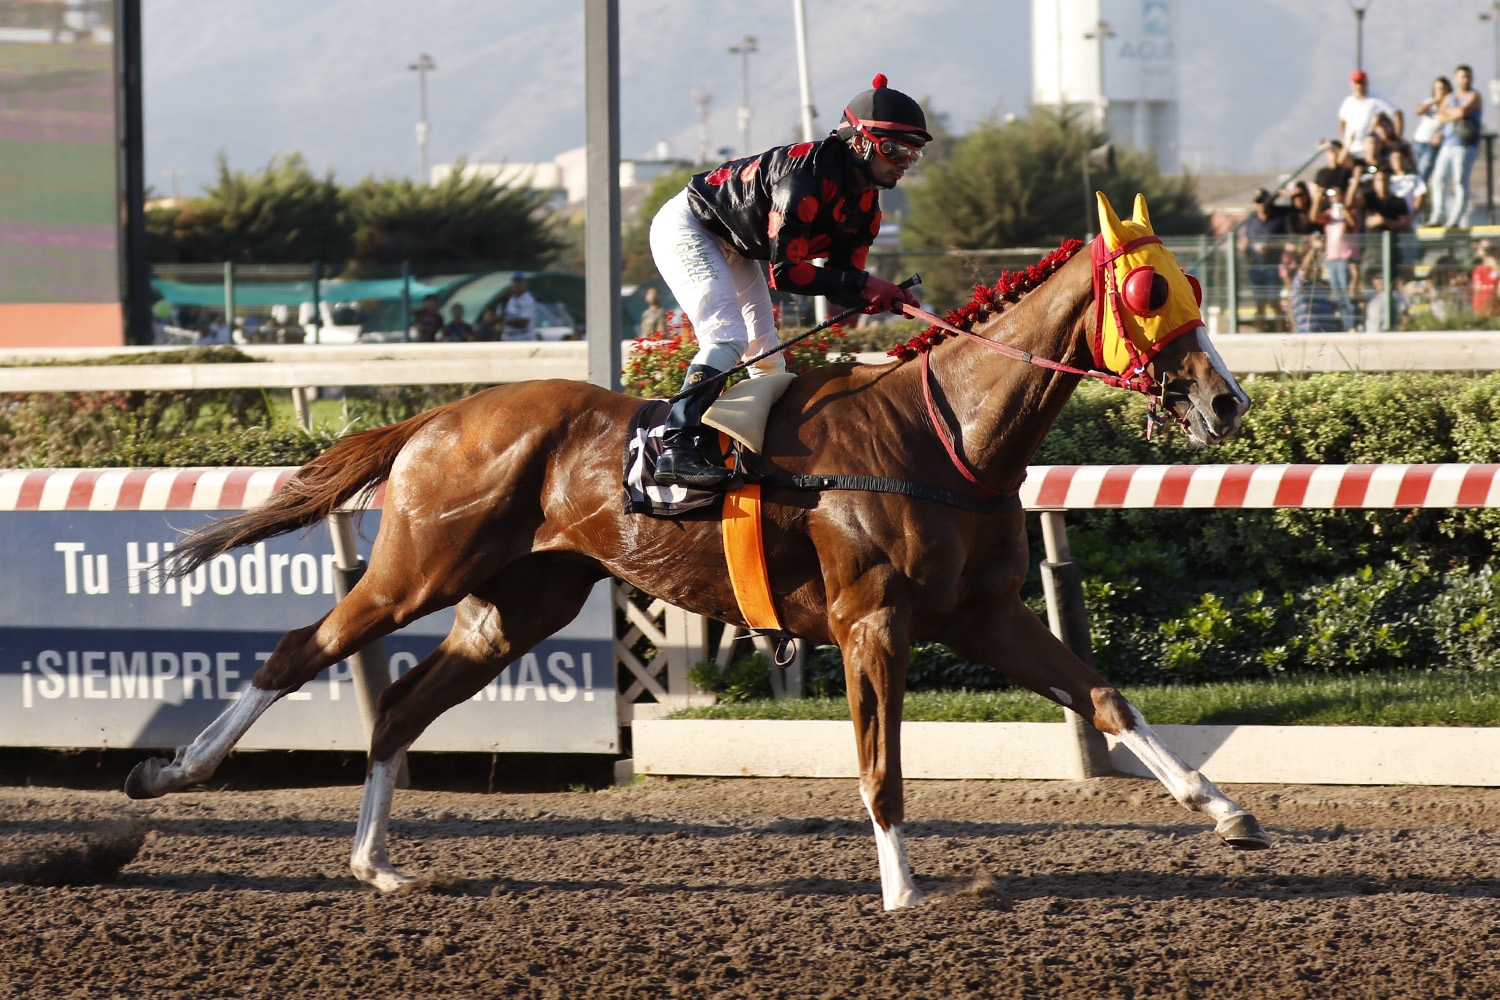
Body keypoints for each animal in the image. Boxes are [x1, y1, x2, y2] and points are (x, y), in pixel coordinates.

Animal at [125, 192, 1269, 910]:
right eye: (1150, 294)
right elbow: (882, 764)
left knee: (401, 704)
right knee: (297, 654)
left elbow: (1106, 697)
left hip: (519, 603)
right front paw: (903, 888)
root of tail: (440, 415)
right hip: (420, 567)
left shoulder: (985, 613)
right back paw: (173, 769)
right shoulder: (873, 623)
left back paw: (378, 866)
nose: (1226, 403)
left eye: (1191, 288)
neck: (942, 435)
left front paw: (1226, 811)